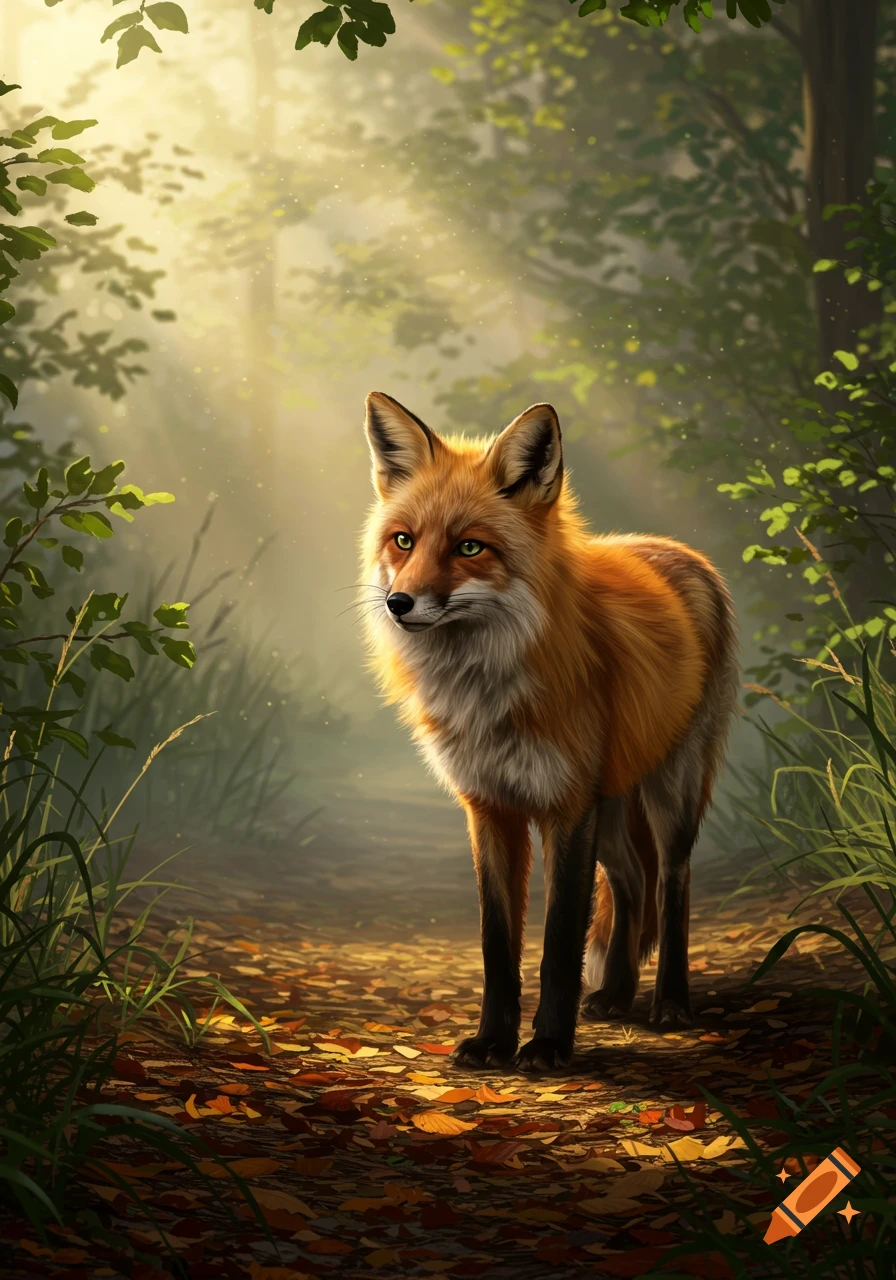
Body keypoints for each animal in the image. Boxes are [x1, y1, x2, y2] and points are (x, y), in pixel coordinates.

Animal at [359, 391, 739, 1072]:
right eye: (403, 541)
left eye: (470, 548)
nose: (399, 603)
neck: (486, 695)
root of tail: (677, 549)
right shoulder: (489, 807)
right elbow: (498, 946)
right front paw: (493, 1041)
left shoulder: (566, 808)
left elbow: (560, 943)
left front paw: (548, 1046)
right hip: (609, 806)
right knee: (631, 881)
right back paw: (616, 994)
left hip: (667, 793)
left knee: (671, 884)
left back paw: (670, 1003)